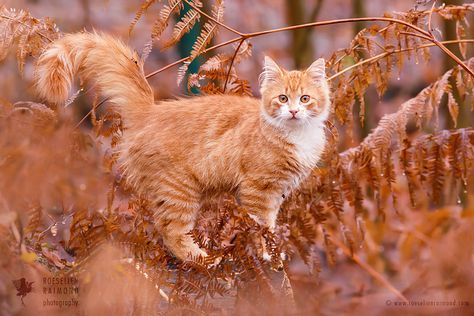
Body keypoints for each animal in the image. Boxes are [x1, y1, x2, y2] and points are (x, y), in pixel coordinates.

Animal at [35, 32, 330, 260]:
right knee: (172, 232)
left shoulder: (277, 194)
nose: (294, 111)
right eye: (282, 98)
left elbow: (269, 225)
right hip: (179, 190)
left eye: (305, 99)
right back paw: (200, 258)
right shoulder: (258, 191)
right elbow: (261, 228)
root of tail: (151, 111)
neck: (297, 136)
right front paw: (267, 253)